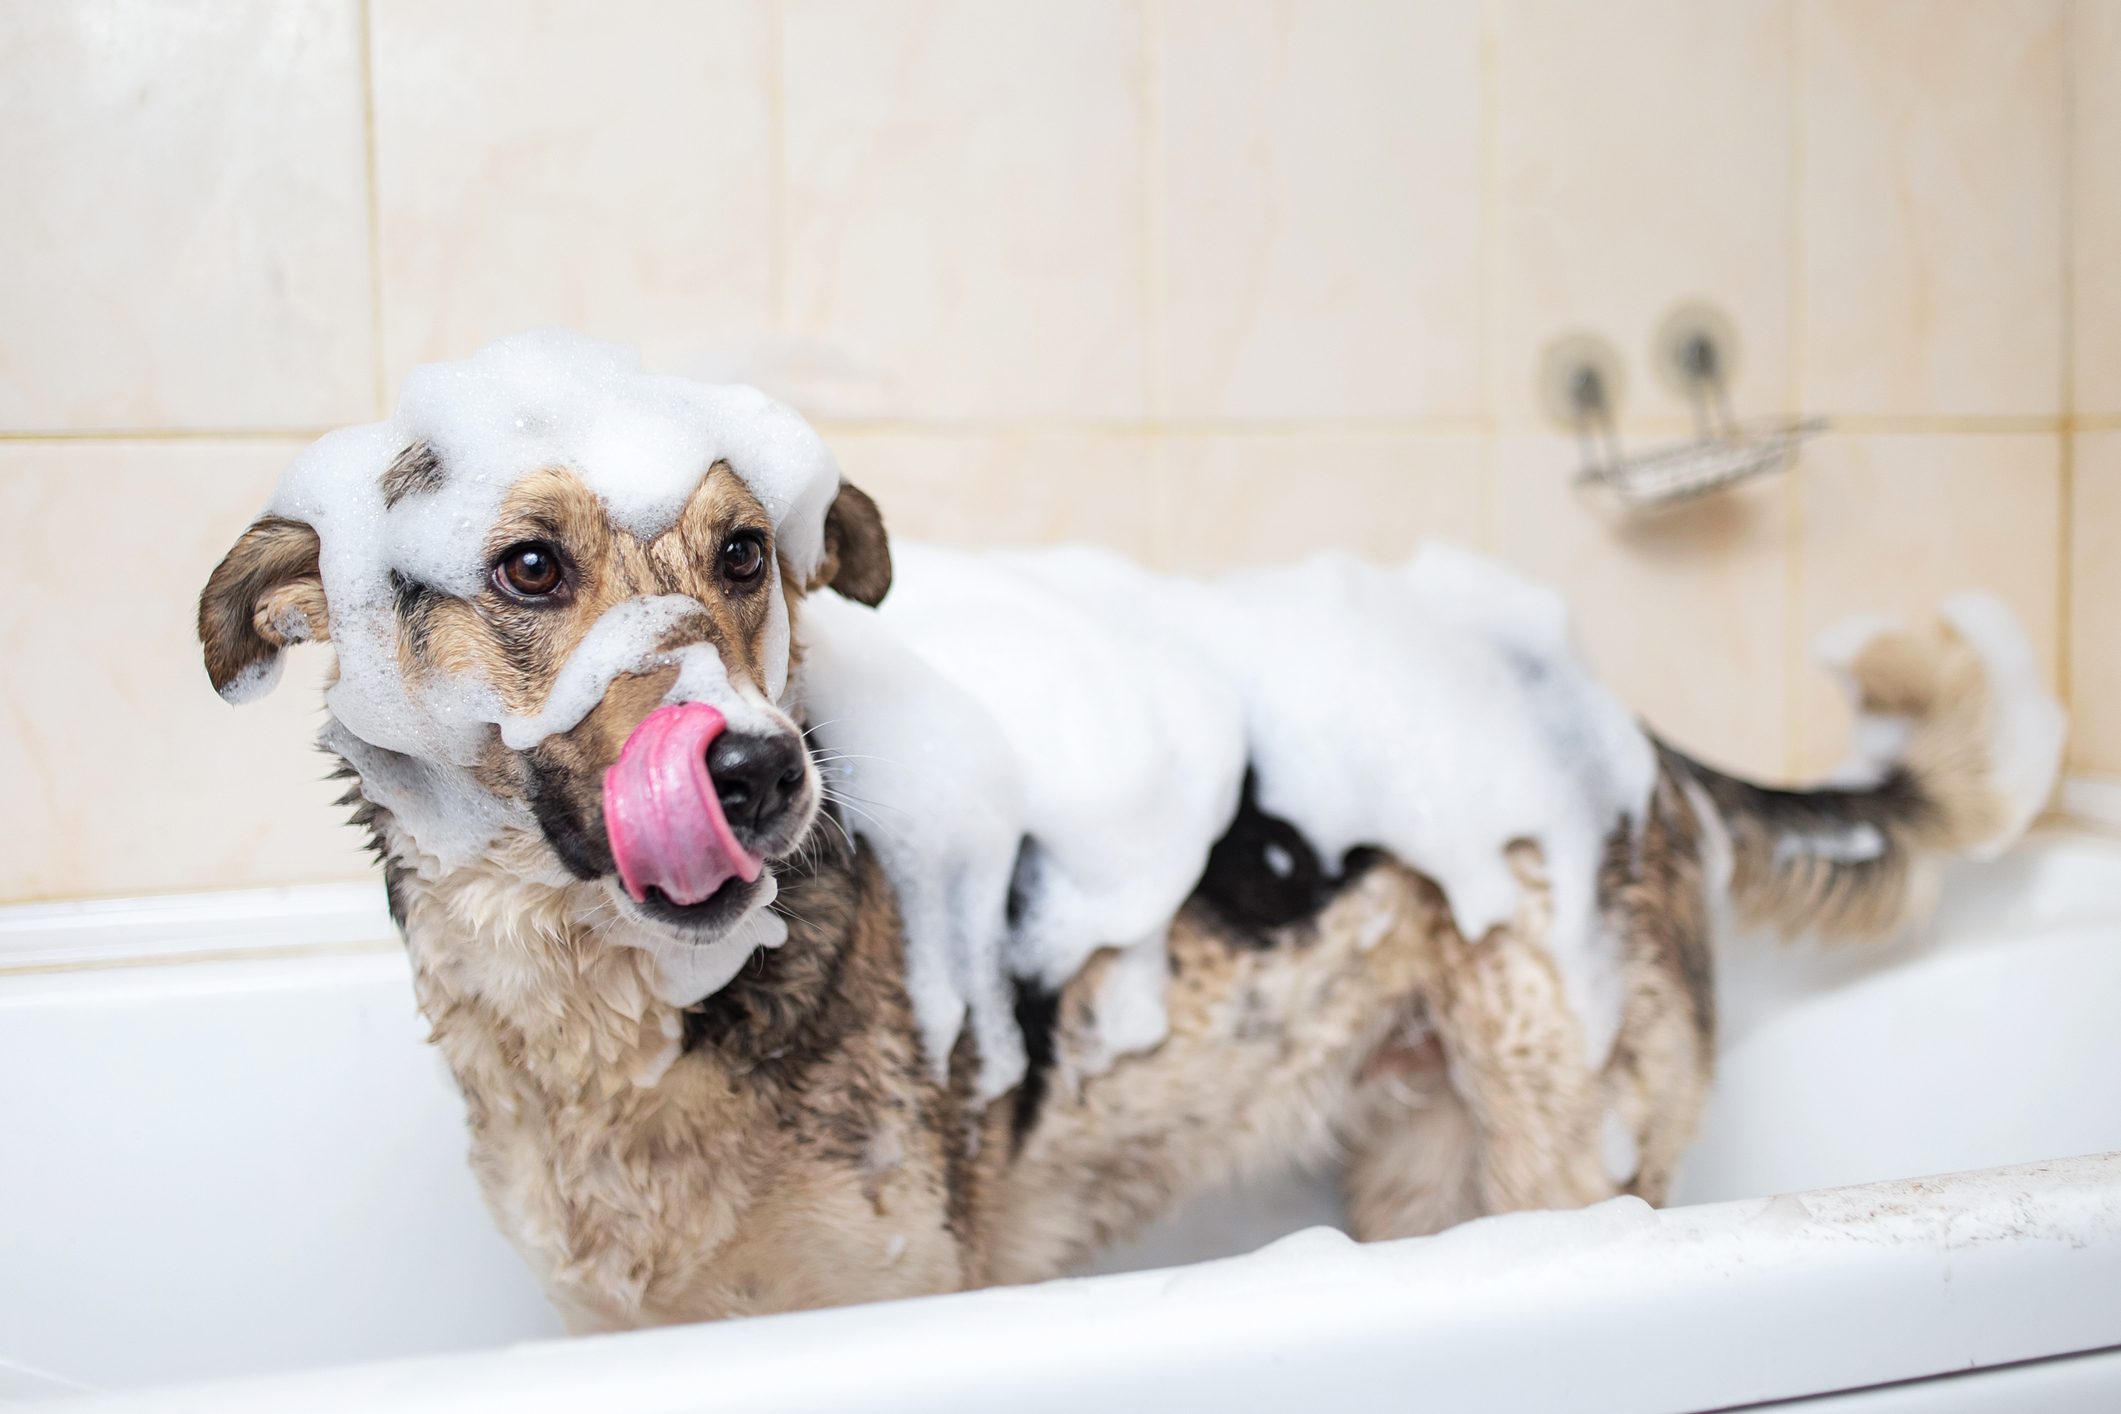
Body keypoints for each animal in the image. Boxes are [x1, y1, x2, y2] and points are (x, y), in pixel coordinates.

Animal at [195, 337, 2053, 1331]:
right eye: (527, 567)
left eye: (744, 554)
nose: (763, 776)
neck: (620, 1028)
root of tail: (1627, 725)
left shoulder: (893, 1296)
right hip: (1423, 1174)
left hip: (1562, 1144)